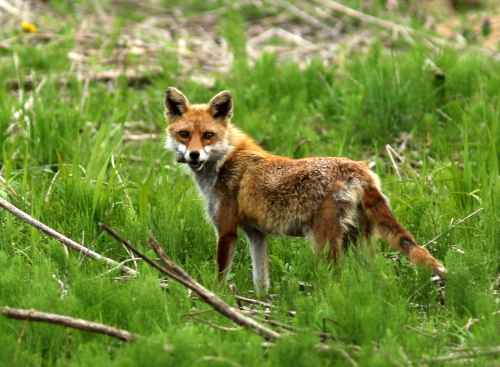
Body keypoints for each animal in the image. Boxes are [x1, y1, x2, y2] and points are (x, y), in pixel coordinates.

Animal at [163, 87, 446, 294]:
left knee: (338, 282)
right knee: (382, 279)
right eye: (184, 134)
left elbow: (220, 276)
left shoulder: (226, 230)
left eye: (208, 135)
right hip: (358, 244)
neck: (225, 161)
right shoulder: (256, 234)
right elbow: (261, 281)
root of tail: (359, 170)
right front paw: (262, 308)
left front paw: (215, 299)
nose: (194, 155)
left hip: (325, 244)